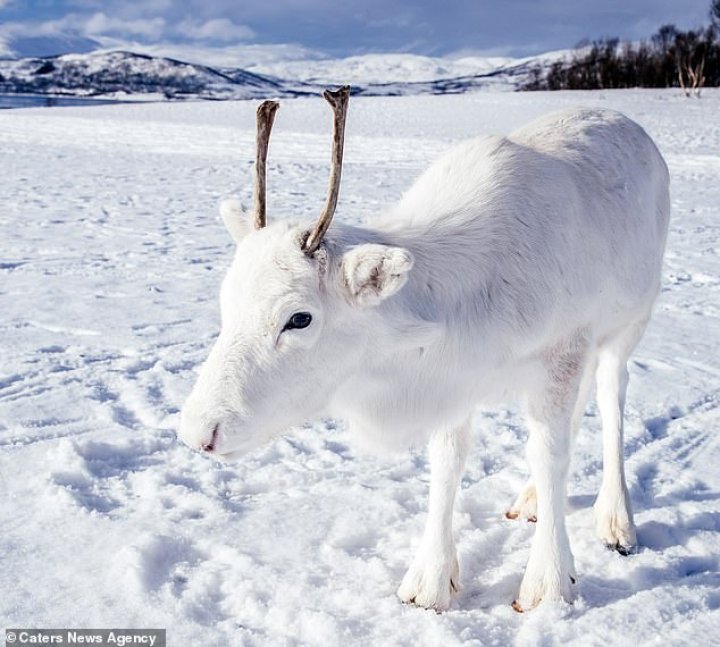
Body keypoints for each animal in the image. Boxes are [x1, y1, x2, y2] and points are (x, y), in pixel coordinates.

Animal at [179, 87, 668, 612]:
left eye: (299, 318)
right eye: (226, 300)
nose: (198, 432)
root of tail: (633, 126)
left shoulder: (562, 351)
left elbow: (549, 455)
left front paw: (549, 584)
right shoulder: (456, 380)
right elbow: (448, 463)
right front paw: (431, 581)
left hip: (628, 324)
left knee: (611, 398)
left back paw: (616, 520)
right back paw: (532, 499)